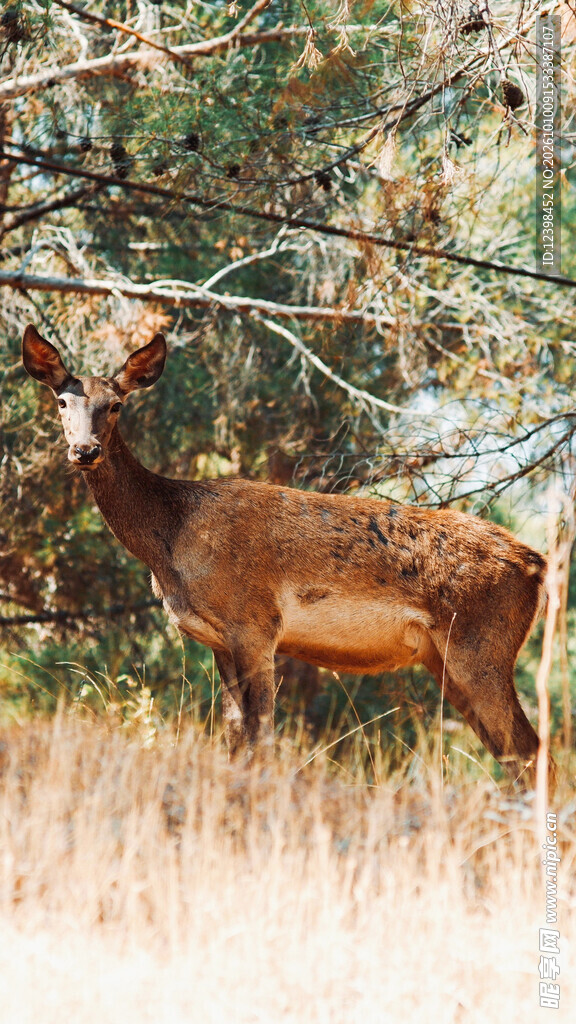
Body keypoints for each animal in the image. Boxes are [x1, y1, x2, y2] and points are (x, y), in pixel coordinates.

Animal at [22, 323, 553, 784]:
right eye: (61, 400)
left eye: (116, 404)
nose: (85, 450)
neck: (171, 540)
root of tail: (537, 564)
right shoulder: (219, 641)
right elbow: (234, 738)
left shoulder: (255, 623)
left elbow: (261, 738)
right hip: (446, 661)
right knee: (514, 754)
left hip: (479, 647)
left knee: (530, 750)